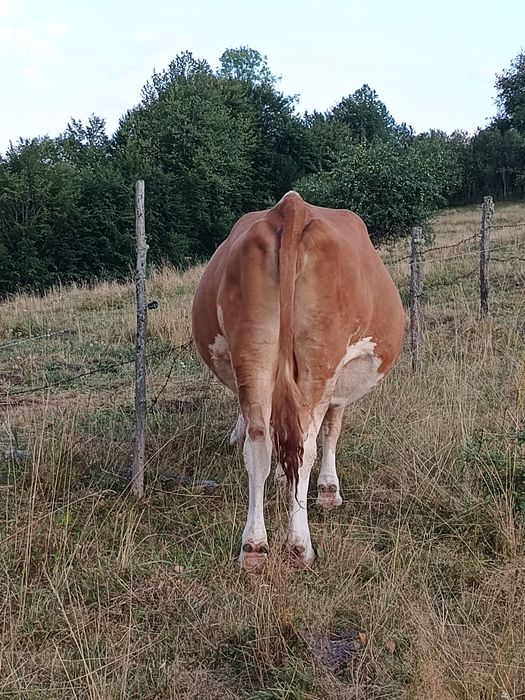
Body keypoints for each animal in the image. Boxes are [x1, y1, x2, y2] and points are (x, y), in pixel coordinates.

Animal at [191, 192, 405, 571]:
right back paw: (299, 546)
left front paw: (280, 478)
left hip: (253, 355)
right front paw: (329, 492)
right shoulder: (339, 386)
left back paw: (254, 547)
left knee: (259, 444)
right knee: (304, 445)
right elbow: (331, 431)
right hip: (320, 361)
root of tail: (292, 208)